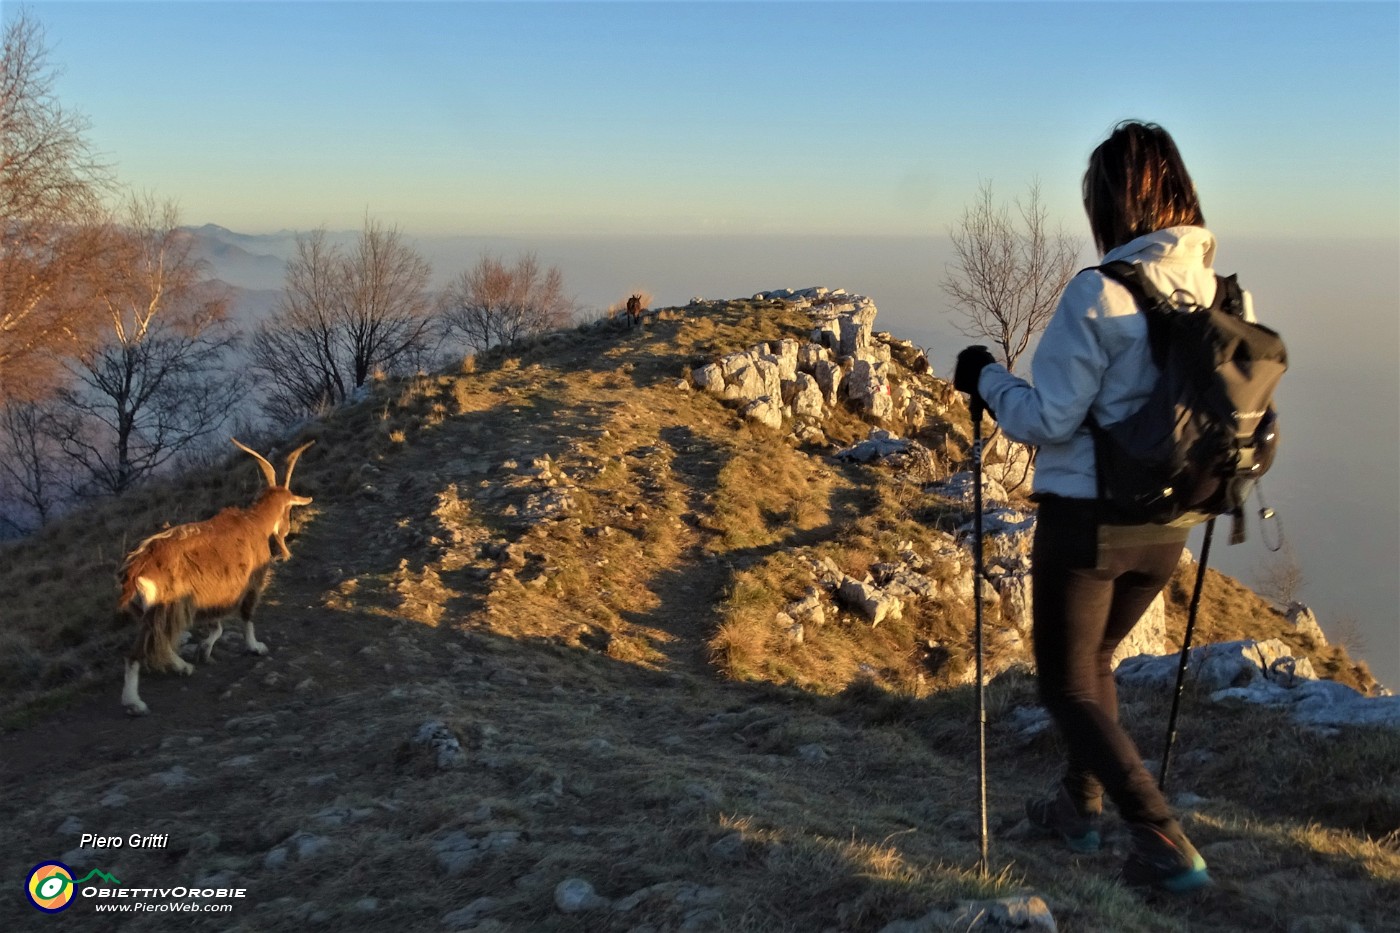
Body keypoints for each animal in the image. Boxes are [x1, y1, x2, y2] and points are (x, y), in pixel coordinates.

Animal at [120, 437, 315, 711]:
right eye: (289, 508)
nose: (286, 530)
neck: (253, 522)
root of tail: (137, 567)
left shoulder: (210, 595)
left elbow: (217, 627)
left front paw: (204, 649)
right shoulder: (250, 583)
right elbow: (247, 616)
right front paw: (255, 647)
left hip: (150, 610)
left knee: (158, 642)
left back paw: (183, 667)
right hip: (163, 607)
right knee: (138, 652)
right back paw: (134, 702)